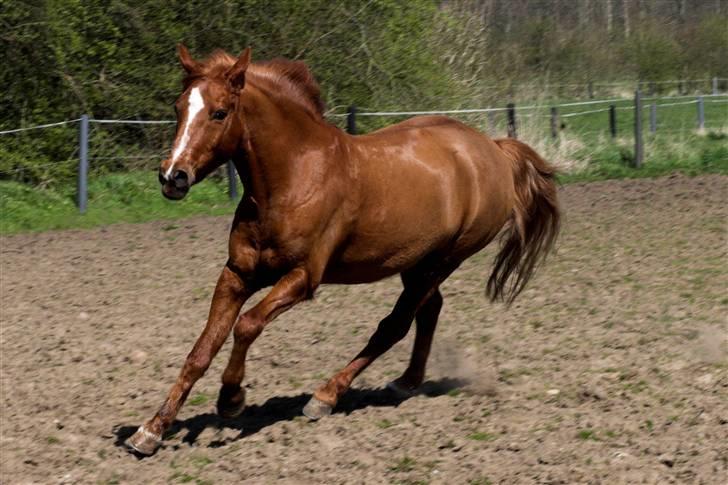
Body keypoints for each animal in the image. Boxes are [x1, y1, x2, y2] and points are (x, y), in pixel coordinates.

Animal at [127, 45, 560, 455]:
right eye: (179, 107)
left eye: (219, 112)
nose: (173, 177)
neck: (293, 178)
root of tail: (492, 148)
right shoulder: (237, 274)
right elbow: (202, 349)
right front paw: (151, 431)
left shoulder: (302, 278)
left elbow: (247, 325)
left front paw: (231, 399)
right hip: (417, 262)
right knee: (428, 311)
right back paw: (406, 382)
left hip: (444, 260)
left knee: (395, 324)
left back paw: (325, 396)